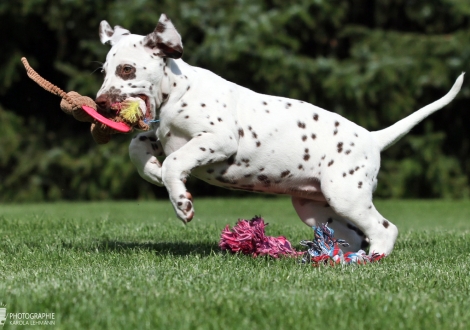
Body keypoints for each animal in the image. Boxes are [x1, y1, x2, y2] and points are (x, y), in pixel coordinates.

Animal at [94, 13, 462, 255]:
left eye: (126, 69)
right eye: (103, 71)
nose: (99, 104)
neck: (177, 92)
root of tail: (373, 137)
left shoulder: (219, 139)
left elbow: (175, 161)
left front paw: (181, 201)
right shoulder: (161, 136)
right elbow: (138, 146)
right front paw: (153, 172)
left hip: (346, 195)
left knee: (385, 230)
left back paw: (372, 260)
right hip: (316, 207)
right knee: (356, 235)